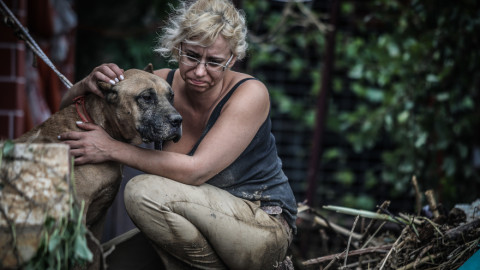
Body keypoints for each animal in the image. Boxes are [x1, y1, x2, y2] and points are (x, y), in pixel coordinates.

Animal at [15, 65, 182, 268]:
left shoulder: (97, 223)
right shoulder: (77, 218)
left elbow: (93, 258)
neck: (100, 125)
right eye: (146, 97)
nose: (178, 120)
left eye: (171, 96)